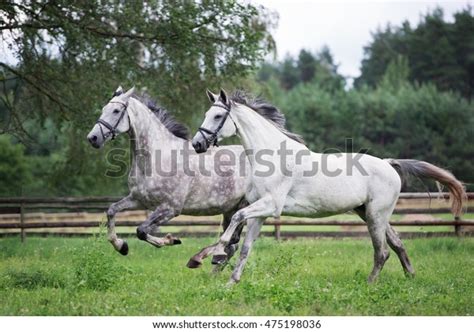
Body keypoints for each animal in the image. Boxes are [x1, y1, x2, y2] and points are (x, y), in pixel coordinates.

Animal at [87, 85, 254, 264]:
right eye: (104, 109)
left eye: (116, 111)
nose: (93, 138)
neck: (155, 159)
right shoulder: (139, 200)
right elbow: (111, 211)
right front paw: (121, 246)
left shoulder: (170, 208)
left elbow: (141, 230)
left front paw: (170, 240)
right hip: (230, 209)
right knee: (231, 243)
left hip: (243, 207)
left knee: (232, 241)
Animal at [187, 89, 464, 284]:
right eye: (206, 114)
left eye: (218, 116)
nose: (197, 144)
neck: (274, 156)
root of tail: (388, 164)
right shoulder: (261, 212)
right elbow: (245, 246)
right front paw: (231, 282)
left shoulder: (270, 206)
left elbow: (234, 221)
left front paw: (210, 256)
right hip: (369, 213)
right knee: (396, 244)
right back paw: (410, 277)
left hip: (376, 215)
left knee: (382, 251)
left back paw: (370, 283)